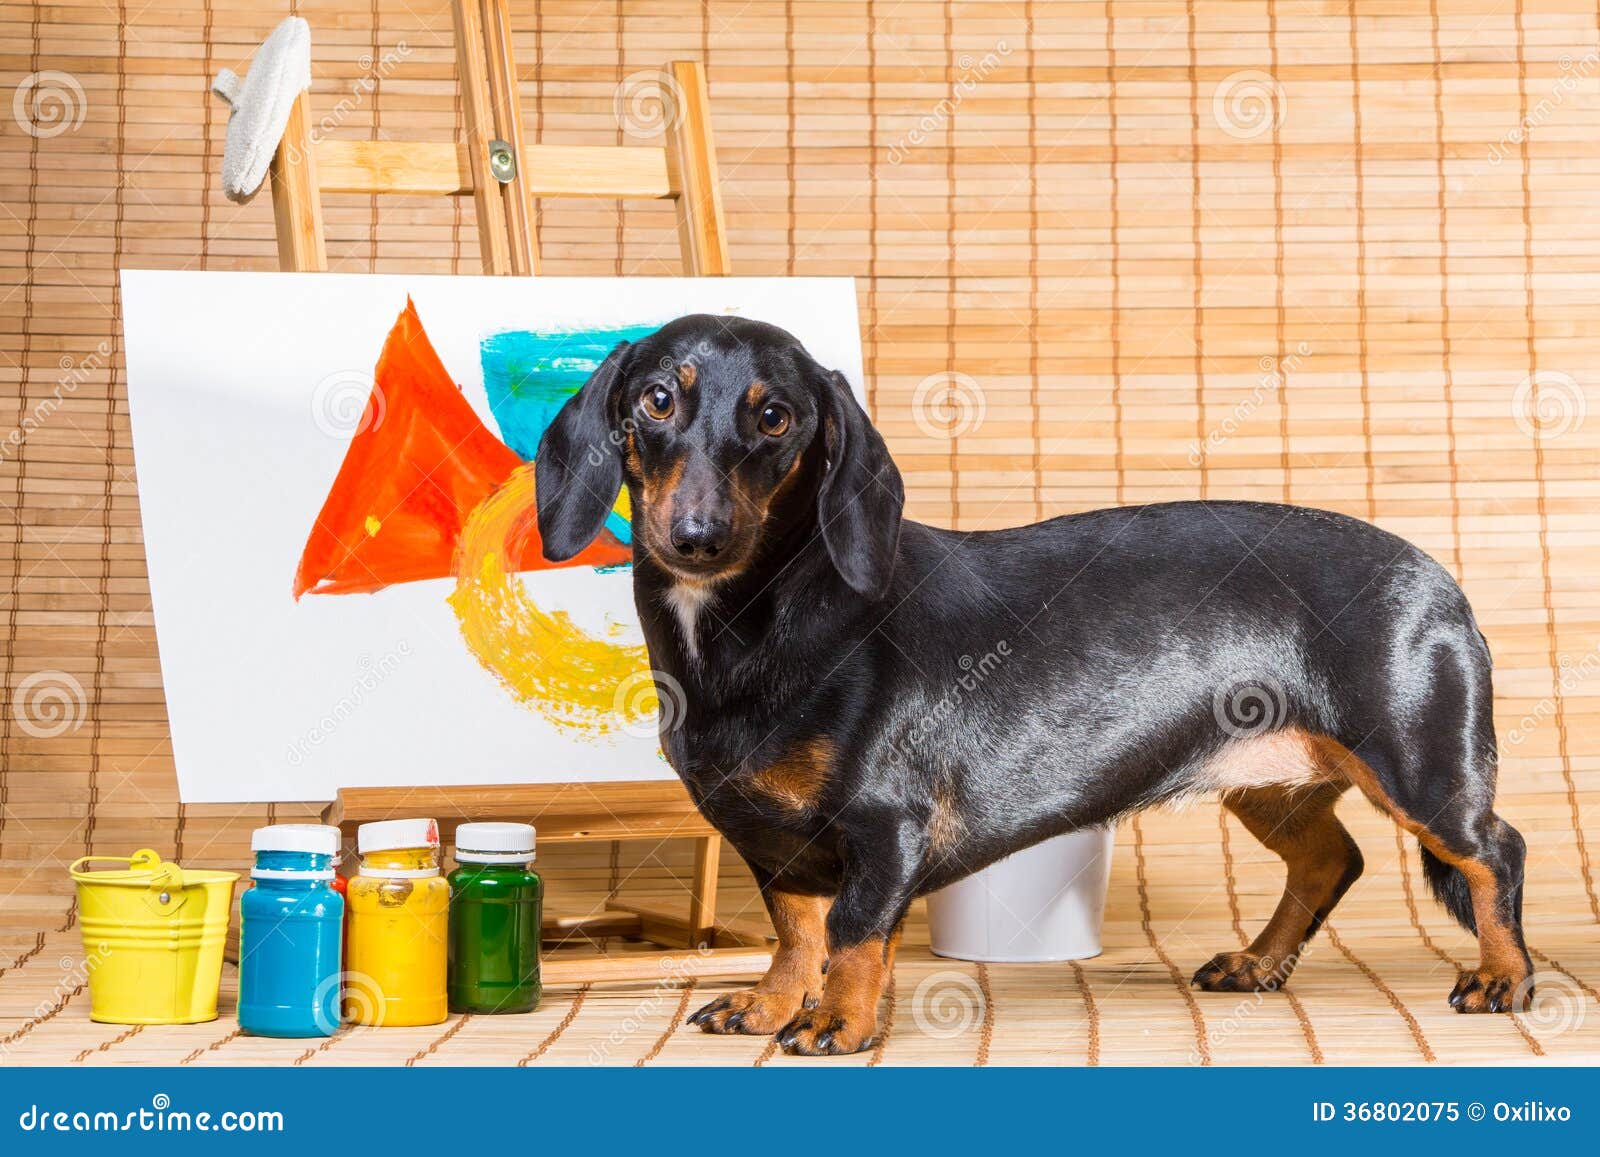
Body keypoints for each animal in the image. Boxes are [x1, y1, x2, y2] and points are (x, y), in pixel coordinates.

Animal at [534, 312, 1523, 1056]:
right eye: (658, 398)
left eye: (775, 416)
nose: (696, 536)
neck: (754, 624)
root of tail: (1441, 577)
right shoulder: (763, 836)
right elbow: (794, 931)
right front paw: (771, 1004)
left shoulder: (886, 824)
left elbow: (850, 932)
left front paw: (836, 1022)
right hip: (1268, 784)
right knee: (1331, 860)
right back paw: (1256, 962)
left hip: (1416, 769)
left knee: (1493, 851)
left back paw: (1503, 975)